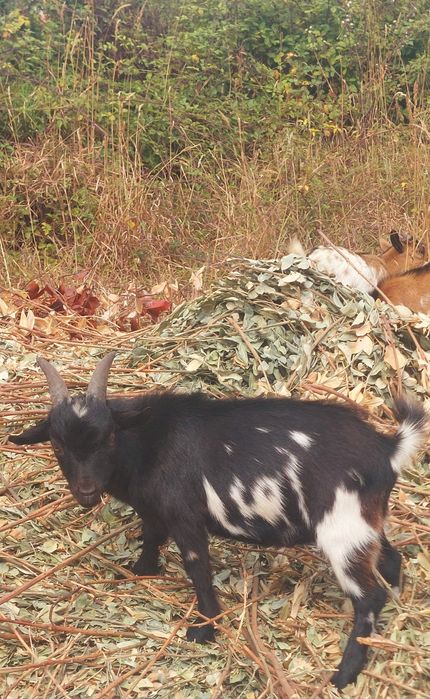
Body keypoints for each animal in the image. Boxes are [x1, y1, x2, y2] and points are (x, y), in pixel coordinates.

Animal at [9, 354, 428, 689]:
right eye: (57, 443)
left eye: (109, 437)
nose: (86, 490)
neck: (150, 443)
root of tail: (386, 448)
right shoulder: (156, 511)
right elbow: (151, 537)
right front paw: (140, 571)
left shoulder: (186, 516)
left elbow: (197, 569)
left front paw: (204, 629)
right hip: (365, 520)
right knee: (391, 559)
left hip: (342, 529)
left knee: (367, 596)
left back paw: (344, 674)